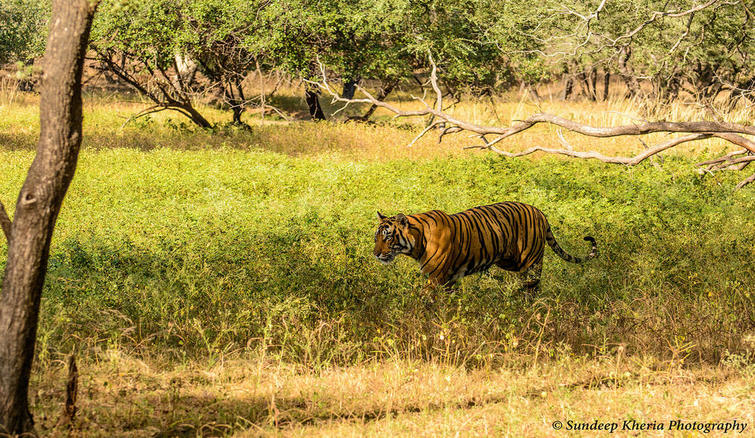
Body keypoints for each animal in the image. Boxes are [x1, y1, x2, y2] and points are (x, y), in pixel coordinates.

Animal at [376, 202, 600, 294]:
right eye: (376, 237)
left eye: (388, 236)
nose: (376, 254)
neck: (417, 241)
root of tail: (540, 212)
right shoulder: (448, 279)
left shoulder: (436, 278)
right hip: (511, 261)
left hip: (531, 261)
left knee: (533, 286)